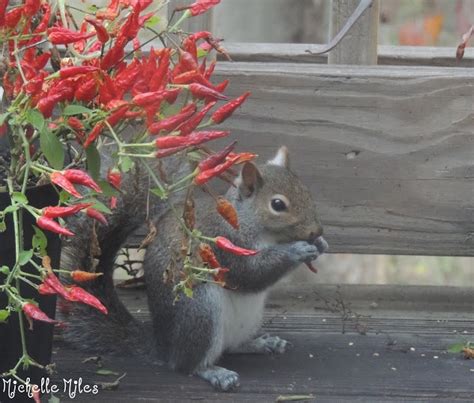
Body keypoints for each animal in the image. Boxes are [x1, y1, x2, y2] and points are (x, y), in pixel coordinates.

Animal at [61, 147, 328, 392]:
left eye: (306, 192)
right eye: (278, 204)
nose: (317, 231)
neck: (252, 224)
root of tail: (165, 347)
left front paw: (321, 244)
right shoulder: (224, 245)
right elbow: (250, 274)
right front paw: (296, 250)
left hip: (247, 320)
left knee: (232, 346)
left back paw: (261, 344)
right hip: (201, 312)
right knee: (187, 365)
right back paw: (215, 372)